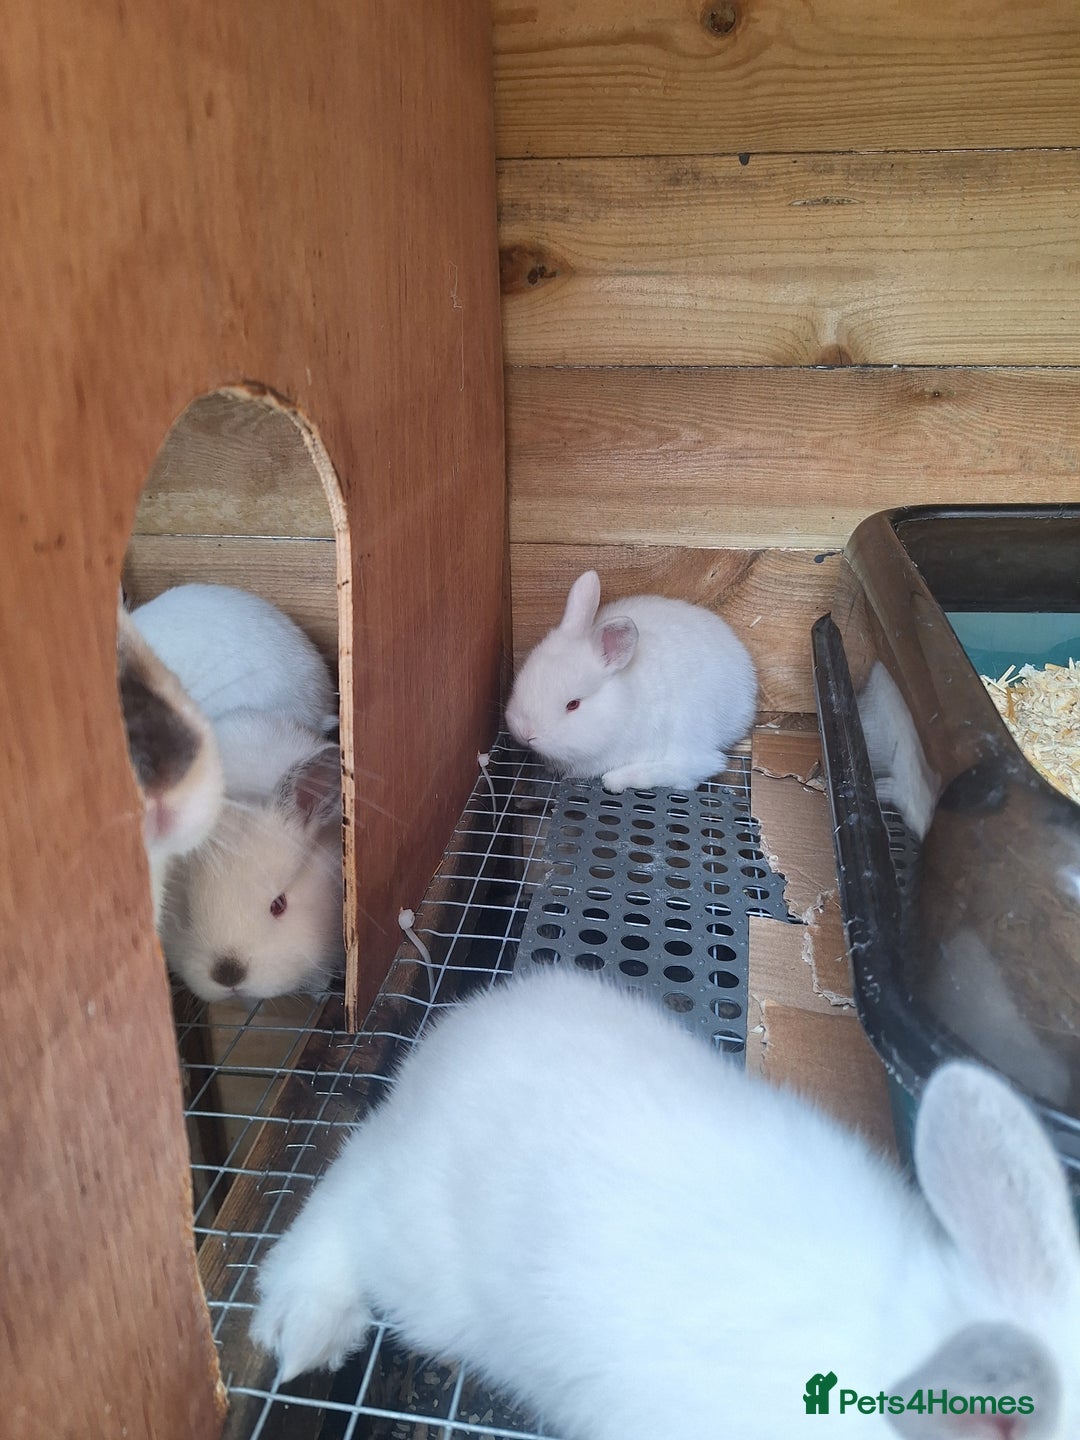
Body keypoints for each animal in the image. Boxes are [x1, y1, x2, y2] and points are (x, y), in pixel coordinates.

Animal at [505, 571, 757, 793]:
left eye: (573, 704)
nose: (526, 733)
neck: (624, 703)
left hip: (689, 726)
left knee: (700, 768)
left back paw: (618, 779)